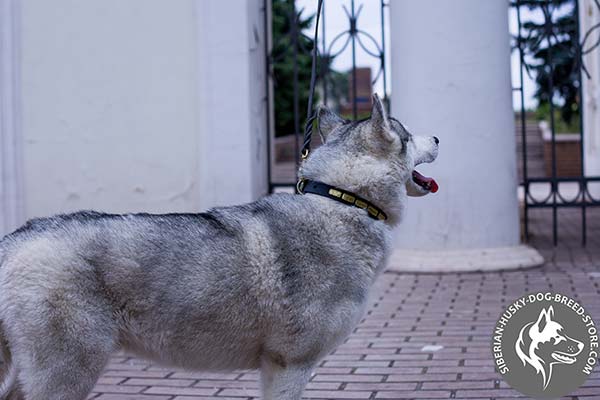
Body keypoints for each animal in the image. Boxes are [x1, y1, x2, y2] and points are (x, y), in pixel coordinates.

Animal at [1, 94, 440, 400]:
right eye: (407, 135)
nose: (437, 136)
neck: (341, 200)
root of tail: (15, 238)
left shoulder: (275, 368)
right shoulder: (291, 365)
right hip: (68, 372)